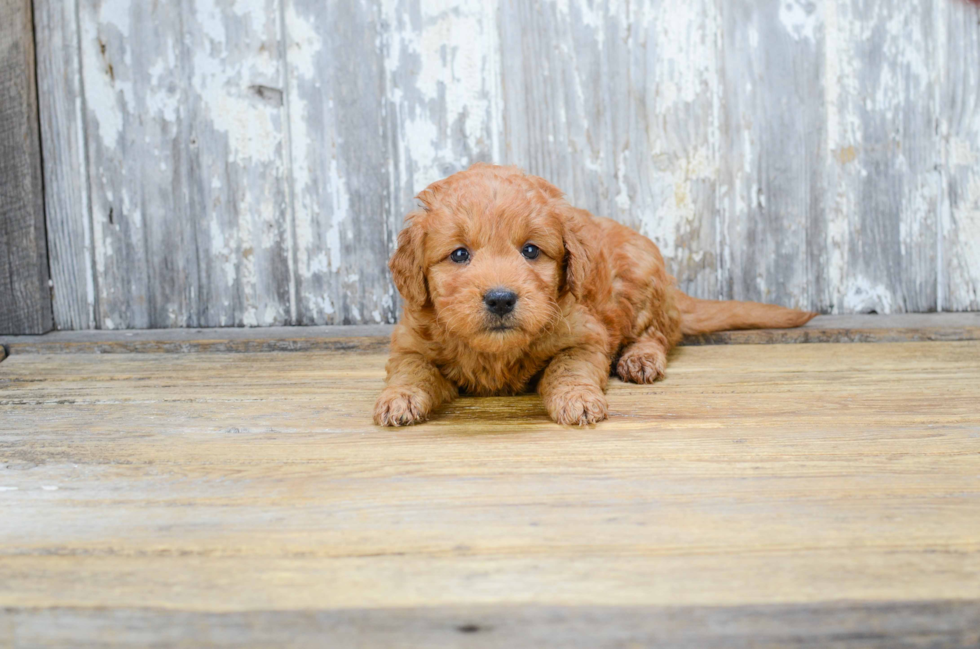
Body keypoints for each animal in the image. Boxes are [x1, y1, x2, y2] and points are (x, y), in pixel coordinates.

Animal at [372, 162, 816, 426]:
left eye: (530, 250)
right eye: (460, 254)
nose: (500, 298)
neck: (496, 353)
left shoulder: (585, 336)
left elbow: (568, 368)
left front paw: (577, 400)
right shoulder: (409, 341)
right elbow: (412, 369)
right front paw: (398, 399)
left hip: (642, 276)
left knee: (658, 334)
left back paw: (640, 359)